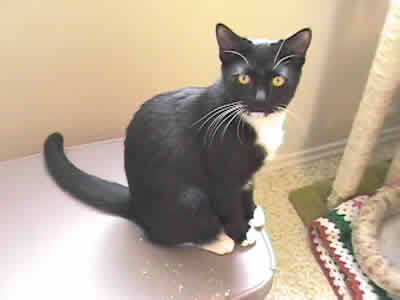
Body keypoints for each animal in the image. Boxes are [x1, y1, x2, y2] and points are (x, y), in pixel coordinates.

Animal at [44, 23, 312, 254]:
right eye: (243, 78)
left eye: (278, 80)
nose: (259, 101)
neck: (256, 123)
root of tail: (135, 205)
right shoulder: (221, 177)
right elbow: (230, 206)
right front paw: (242, 233)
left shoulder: (247, 173)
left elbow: (247, 188)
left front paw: (253, 213)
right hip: (188, 199)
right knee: (163, 236)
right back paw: (216, 241)